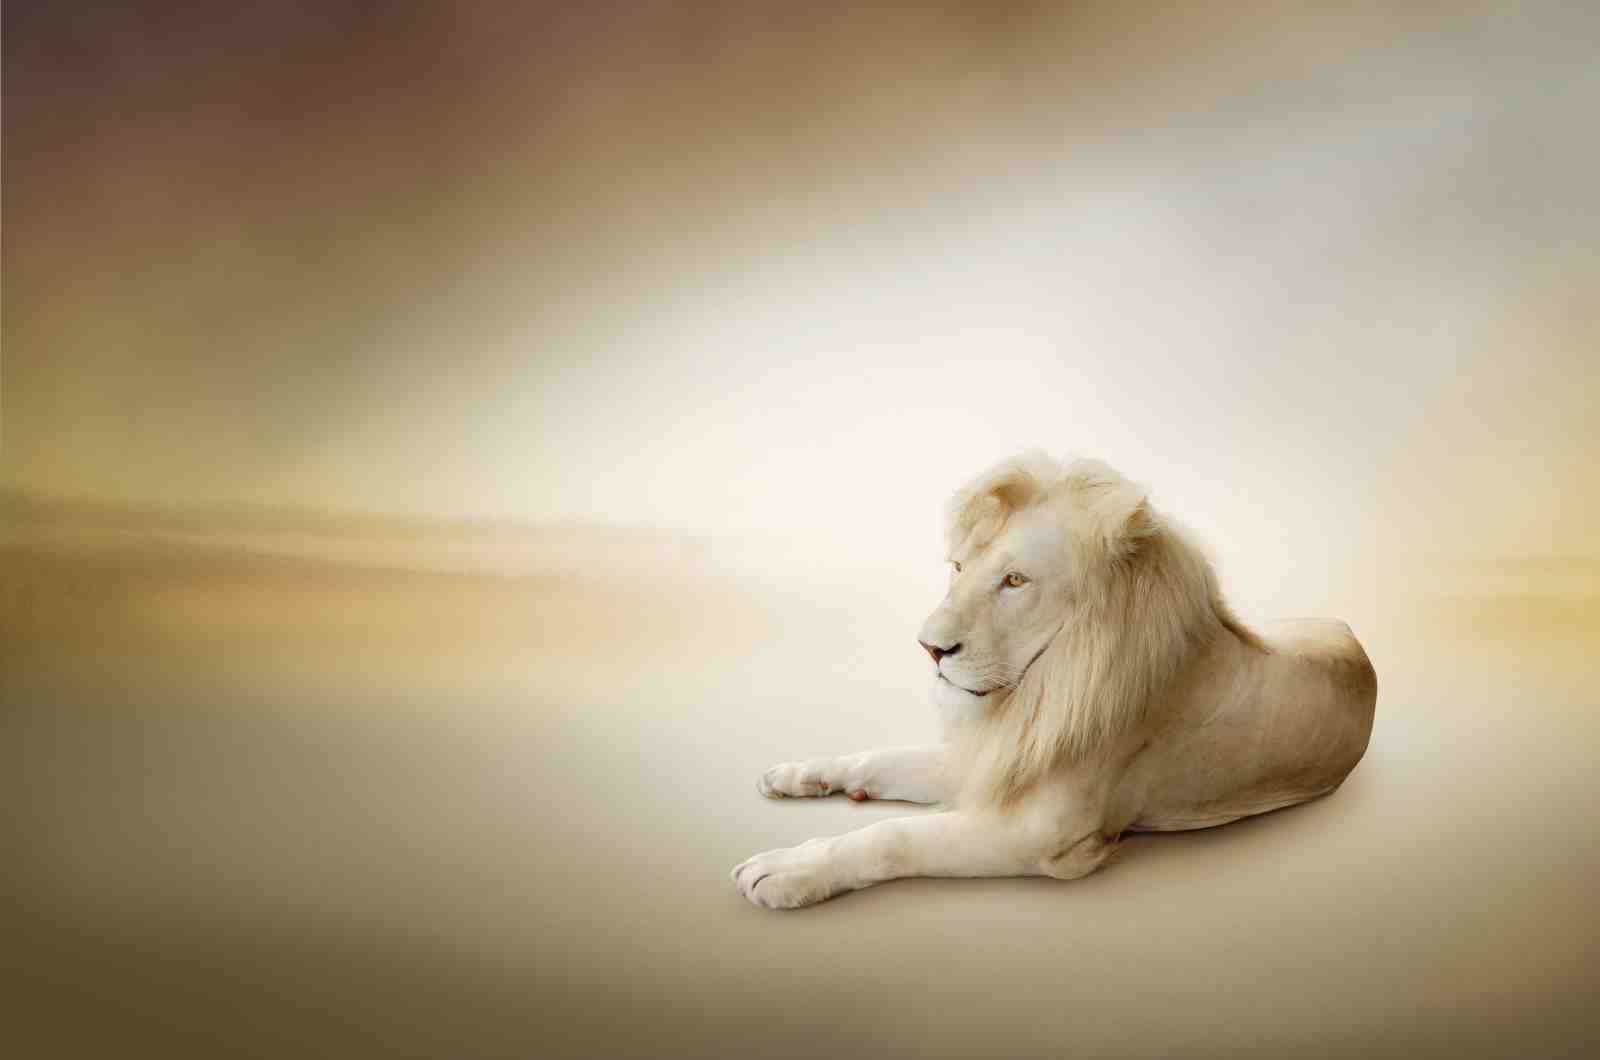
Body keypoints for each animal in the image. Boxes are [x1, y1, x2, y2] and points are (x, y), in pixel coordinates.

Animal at [732, 452, 1377, 909]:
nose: (928, 647)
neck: (1038, 691)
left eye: (1015, 581)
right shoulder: (999, 756)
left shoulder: (1044, 835)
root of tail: (1351, 631)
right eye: (959, 568)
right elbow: (881, 758)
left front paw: (786, 870)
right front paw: (800, 775)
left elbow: (893, 836)